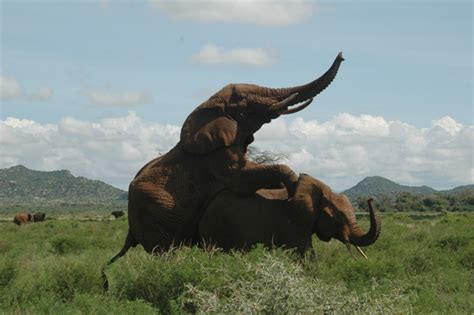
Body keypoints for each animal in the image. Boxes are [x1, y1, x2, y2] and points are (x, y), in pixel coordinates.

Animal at [102, 52, 342, 292]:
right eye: (244, 102)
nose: (341, 55)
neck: (209, 104)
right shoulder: (217, 160)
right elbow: (244, 180)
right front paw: (293, 191)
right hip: (153, 215)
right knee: (165, 253)